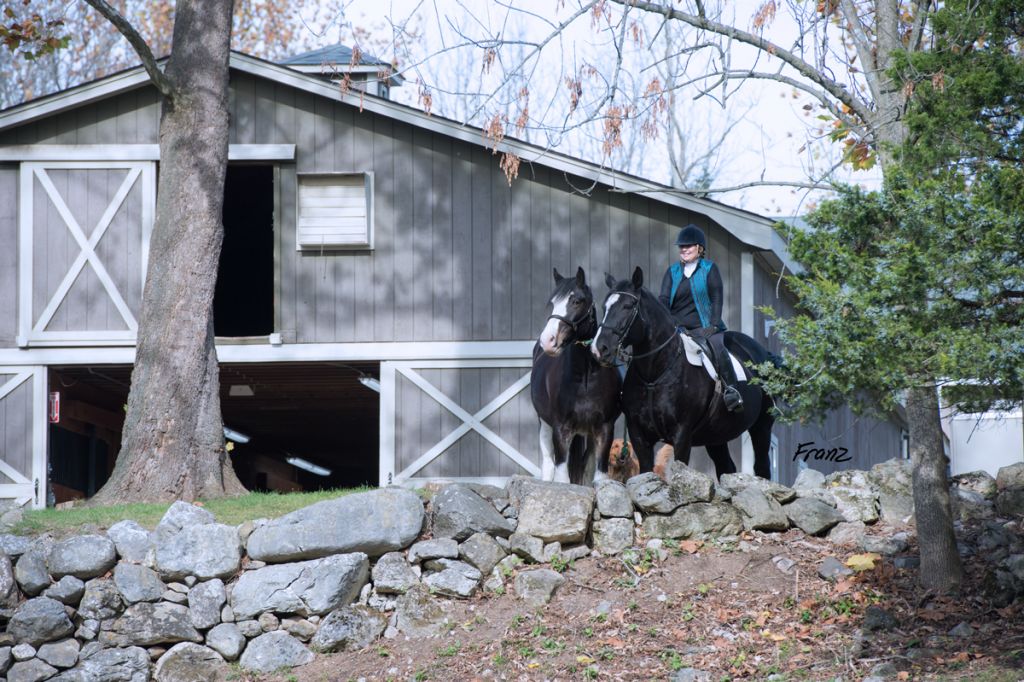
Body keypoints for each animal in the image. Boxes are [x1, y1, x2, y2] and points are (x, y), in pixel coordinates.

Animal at [532, 266, 618, 483]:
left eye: (577, 301)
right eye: (552, 303)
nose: (548, 341)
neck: (585, 377)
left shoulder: (605, 429)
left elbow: (597, 476)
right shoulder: (561, 429)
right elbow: (562, 478)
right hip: (544, 424)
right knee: (548, 464)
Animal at [589, 266, 770, 477]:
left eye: (628, 306)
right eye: (605, 307)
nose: (599, 348)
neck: (655, 374)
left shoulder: (682, 434)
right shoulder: (639, 435)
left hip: (762, 425)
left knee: (762, 466)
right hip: (715, 435)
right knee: (726, 467)